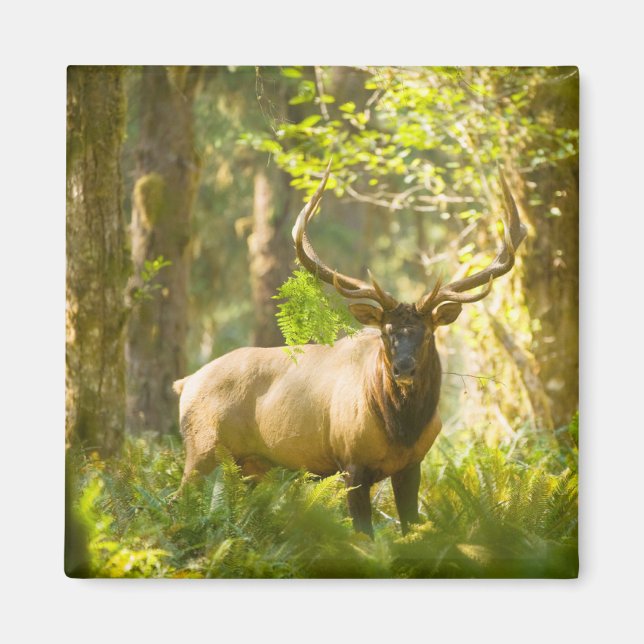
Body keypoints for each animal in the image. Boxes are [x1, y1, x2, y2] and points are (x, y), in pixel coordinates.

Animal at [173, 162, 526, 537]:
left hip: (249, 466)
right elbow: (363, 535)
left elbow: (410, 527)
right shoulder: (350, 462)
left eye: (429, 334)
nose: (404, 368)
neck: (400, 430)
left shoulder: (412, 464)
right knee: (177, 500)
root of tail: (186, 382)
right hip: (201, 448)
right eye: (385, 332)